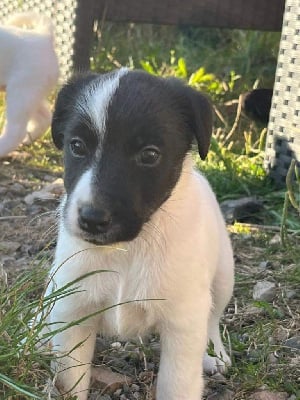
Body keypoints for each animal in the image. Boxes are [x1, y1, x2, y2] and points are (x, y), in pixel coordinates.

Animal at [0, 11, 59, 158]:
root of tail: (44, 37)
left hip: (20, 95)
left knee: (16, 132)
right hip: (31, 96)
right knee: (45, 116)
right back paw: (29, 138)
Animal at [47, 69, 234, 400]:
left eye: (149, 155)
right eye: (77, 146)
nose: (92, 219)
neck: (128, 250)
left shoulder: (182, 325)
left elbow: (177, 385)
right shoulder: (73, 313)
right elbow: (69, 381)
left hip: (224, 277)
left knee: (213, 318)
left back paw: (214, 355)